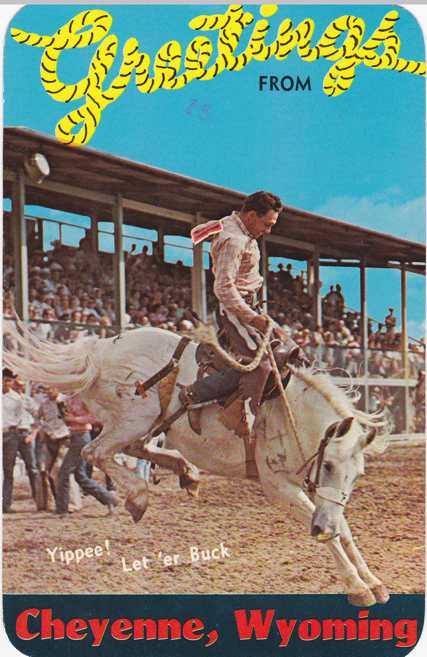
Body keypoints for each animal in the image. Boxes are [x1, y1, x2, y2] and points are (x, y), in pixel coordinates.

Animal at [4, 322, 392, 604]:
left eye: (357, 475)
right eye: (328, 466)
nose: (321, 528)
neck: (289, 408)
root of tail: (100, 350)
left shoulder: (321, 495)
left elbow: (344, 529)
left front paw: (373, 581)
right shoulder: (278, 487)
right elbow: (332, 530)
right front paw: (358, 588)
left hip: (145, 424)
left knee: (134, 449)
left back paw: (183, 472)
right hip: (133, 419)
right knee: (95, 454)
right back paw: (137, 496)